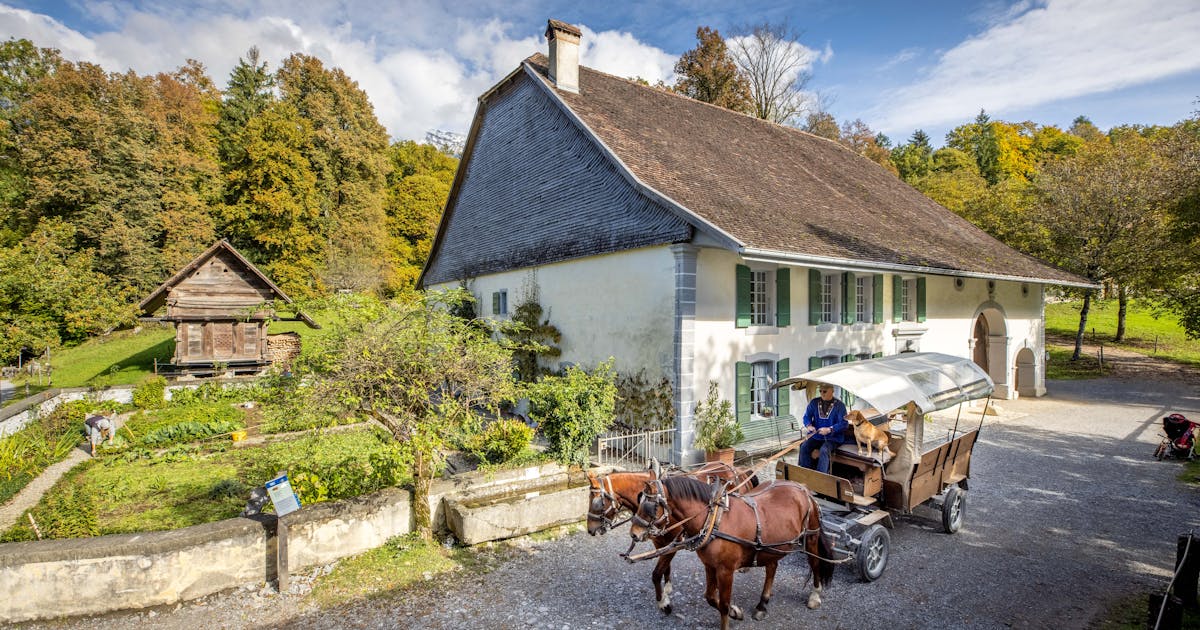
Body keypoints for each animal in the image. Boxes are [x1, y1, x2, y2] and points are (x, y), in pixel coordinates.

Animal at [586, 461, 759, 615]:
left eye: (596, 501)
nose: (590, 529)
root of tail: (739, 470)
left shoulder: (672, 544)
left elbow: (656, 574)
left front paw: (663, 602)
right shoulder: (660, 543)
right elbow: (665, 568)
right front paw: (667, 589)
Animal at [625, 475, 835, 630]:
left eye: (650, 506)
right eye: (638, 501)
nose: (634, 534)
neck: (714, 520)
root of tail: (803, 488)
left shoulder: (726, 571)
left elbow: (724, 604)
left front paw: (729, 615)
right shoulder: (710, 566)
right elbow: (710, 597)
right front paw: (736, 612)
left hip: (811, 538)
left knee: (815, 563)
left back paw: (815, 595)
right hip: (771, 546)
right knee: (772, 568)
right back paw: (762, 604)